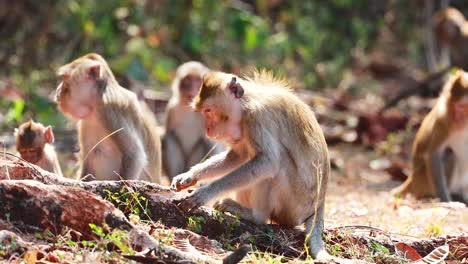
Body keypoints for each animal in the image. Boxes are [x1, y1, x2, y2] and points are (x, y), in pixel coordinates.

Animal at [55, 52, 163, 183]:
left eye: (64, 79)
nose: (58, 90)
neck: (95, 106)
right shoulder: (85, 123)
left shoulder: (110, 110)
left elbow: (135, 155)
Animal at [170, 70, 330, 260]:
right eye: (203, 112)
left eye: (208, 110)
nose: (208, 129)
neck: (246, 103)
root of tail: (319, 204)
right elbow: (238, 156)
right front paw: (190, 175)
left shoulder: (257, 118)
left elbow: (268, 162)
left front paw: (206, 192)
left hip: (293, 208)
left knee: (277, 163)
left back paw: (255, 216)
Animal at [392, 68, 468, 202]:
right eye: (458, 108)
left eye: (465, 108)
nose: (460, 120)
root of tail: (412, 178)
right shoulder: (442, 123)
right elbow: (434, 155)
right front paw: (445, 198)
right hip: (423, 181)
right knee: (449, 154)